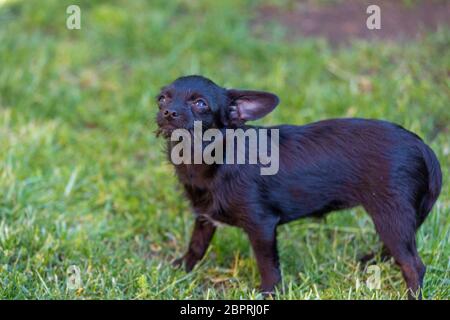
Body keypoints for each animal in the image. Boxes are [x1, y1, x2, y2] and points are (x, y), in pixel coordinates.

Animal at [156, 74, 442, 298]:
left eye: (200, 104)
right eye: (162, 99)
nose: (168, 112)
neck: (211, 158)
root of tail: (423, 147)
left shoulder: (262, 225)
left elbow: (268, 265)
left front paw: (269, 293)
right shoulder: (204, 217)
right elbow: (196, 245)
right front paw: (181, 269)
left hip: (390, 215)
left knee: (413, 265)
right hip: (395, 218)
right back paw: (371, 259)